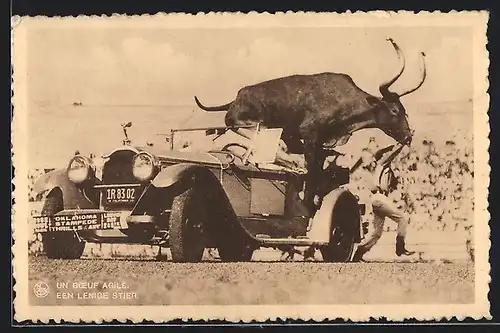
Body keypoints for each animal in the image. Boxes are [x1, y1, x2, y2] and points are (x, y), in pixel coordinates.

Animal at [193, 37, 428, 213]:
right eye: (394, 111)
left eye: (404, 111)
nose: (408, 136)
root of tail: (234, 101)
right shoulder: (308, 134)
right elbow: (311, 171)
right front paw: (308, 202)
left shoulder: (316, 141)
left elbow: (319, 166)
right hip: (253, 124)